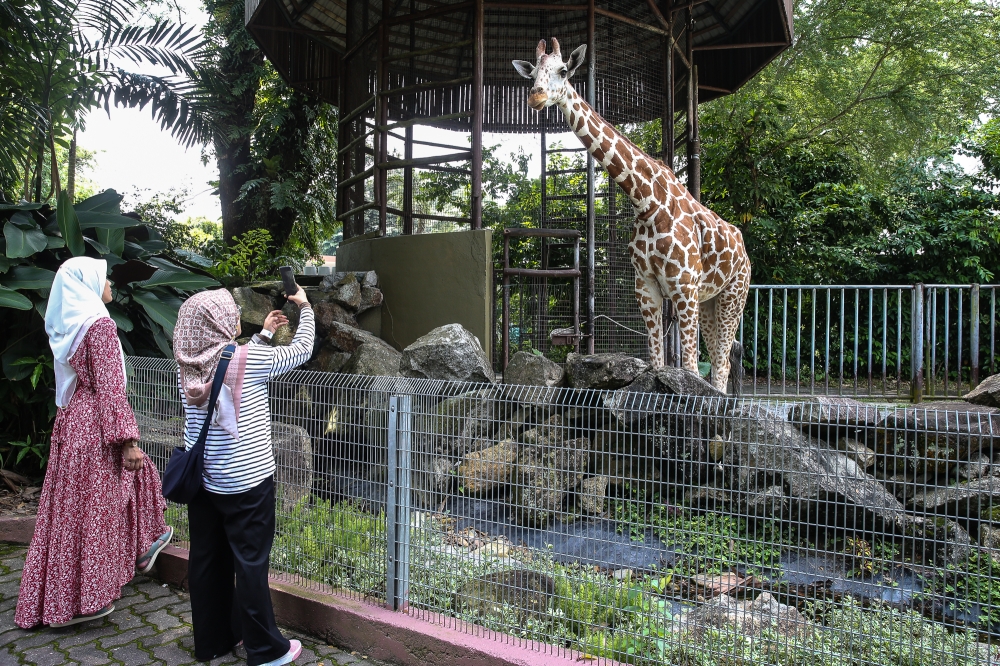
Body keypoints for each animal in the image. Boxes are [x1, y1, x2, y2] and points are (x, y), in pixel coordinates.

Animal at [516, 37, 752, 390]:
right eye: (531, 75)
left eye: (563, 70)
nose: (536, 97)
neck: (647, 203)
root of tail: (744, 251)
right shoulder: (647, 288)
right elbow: (656, 365)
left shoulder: (685, 287)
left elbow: (690, 370)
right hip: (711, 300)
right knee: (720, 360)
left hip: (733, 296)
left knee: (722, 364)